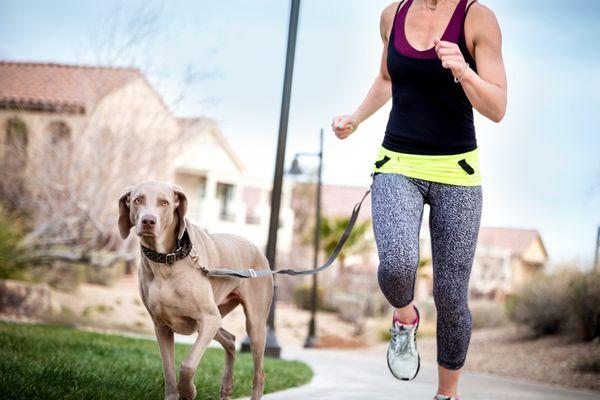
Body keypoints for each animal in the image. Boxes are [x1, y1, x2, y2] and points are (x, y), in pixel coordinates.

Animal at [118, 181, 274, 400]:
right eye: (138, 200)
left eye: (164, 202)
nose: (148, 221)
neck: (167, 261)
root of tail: (257, 248)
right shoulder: (161, 326)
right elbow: (168, 370)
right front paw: (176, 394)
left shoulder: (209, 318)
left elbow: (188, 365)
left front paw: (189, 390)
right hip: (216, 315)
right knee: (230, 339)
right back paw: (226, 387)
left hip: (253, 324)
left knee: (259, 374)